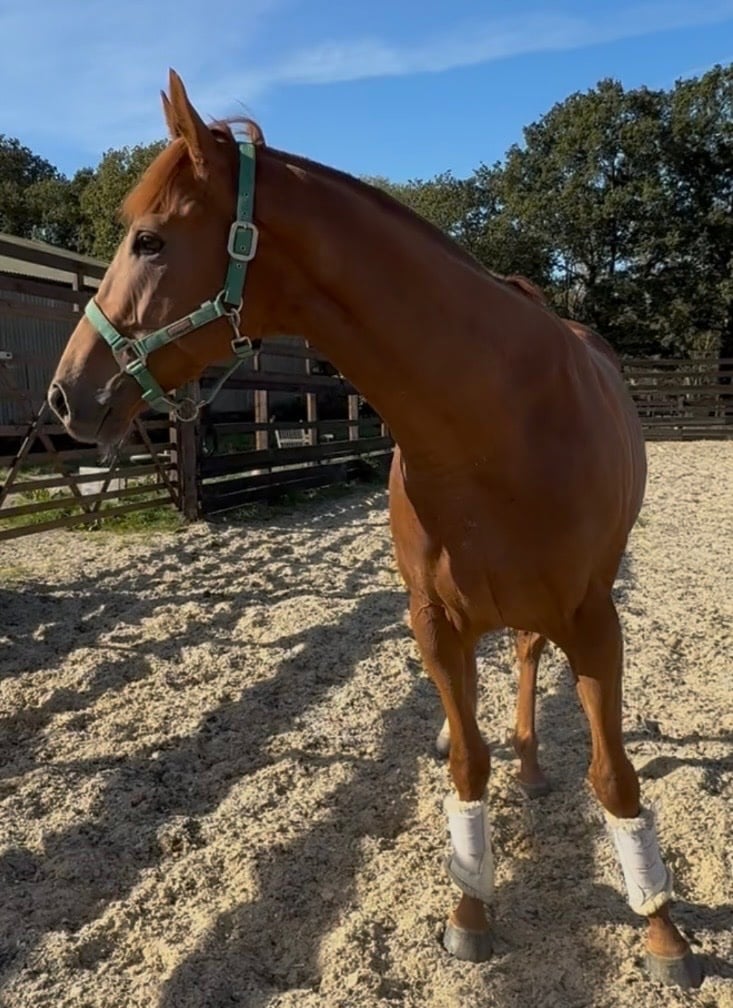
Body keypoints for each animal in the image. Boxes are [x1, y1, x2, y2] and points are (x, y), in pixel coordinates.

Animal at [47, 69, 700, 989]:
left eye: (148, 240)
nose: (67, 395)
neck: (493, 419)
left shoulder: (594, 620)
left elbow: (614, 778)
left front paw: (661, 929)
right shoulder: (435, 623)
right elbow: (467, 766)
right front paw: (470, 912)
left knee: (530, 660)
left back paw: (538, 767)